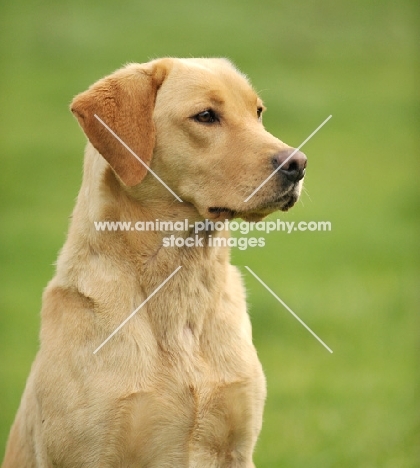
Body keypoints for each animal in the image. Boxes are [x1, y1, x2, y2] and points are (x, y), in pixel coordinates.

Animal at [2, 56, 306, 466]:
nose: (298, 163)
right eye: (206, 116)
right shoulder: (91, 452)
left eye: (257, 112)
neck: (181, 285)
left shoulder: (238, 448)